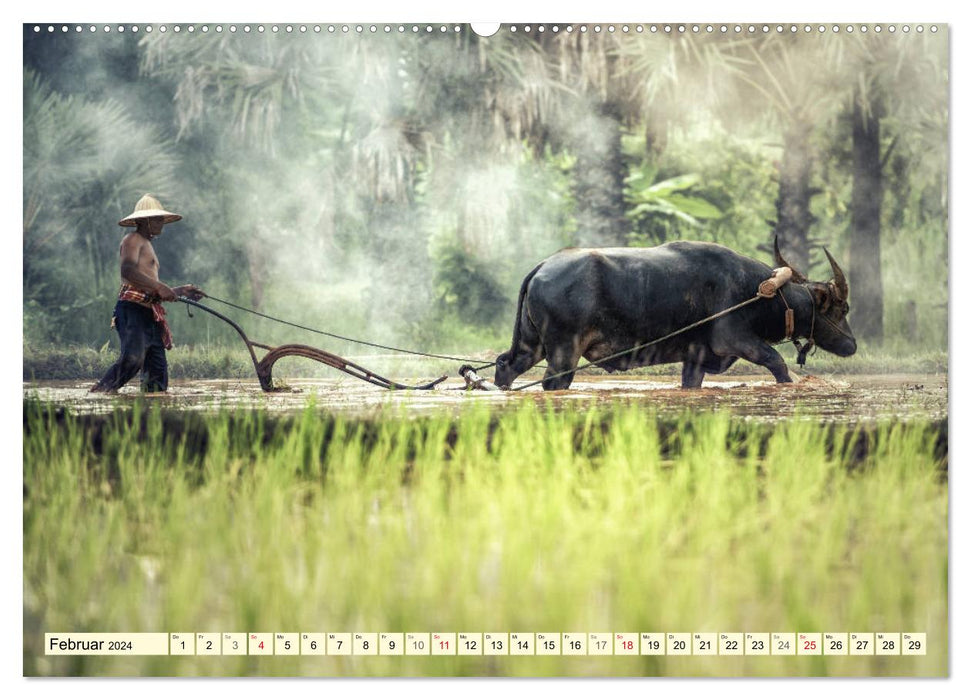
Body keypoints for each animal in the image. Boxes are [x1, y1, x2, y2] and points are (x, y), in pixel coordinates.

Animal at [494, 241, 860, 392]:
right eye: (842, 308)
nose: (852, 345)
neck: (759, 292)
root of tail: (543, 266)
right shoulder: (737, 340)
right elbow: (778, 364)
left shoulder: (695, 358)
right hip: (563, 351)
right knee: (553, 382)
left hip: (531, 345)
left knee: (506, 365)